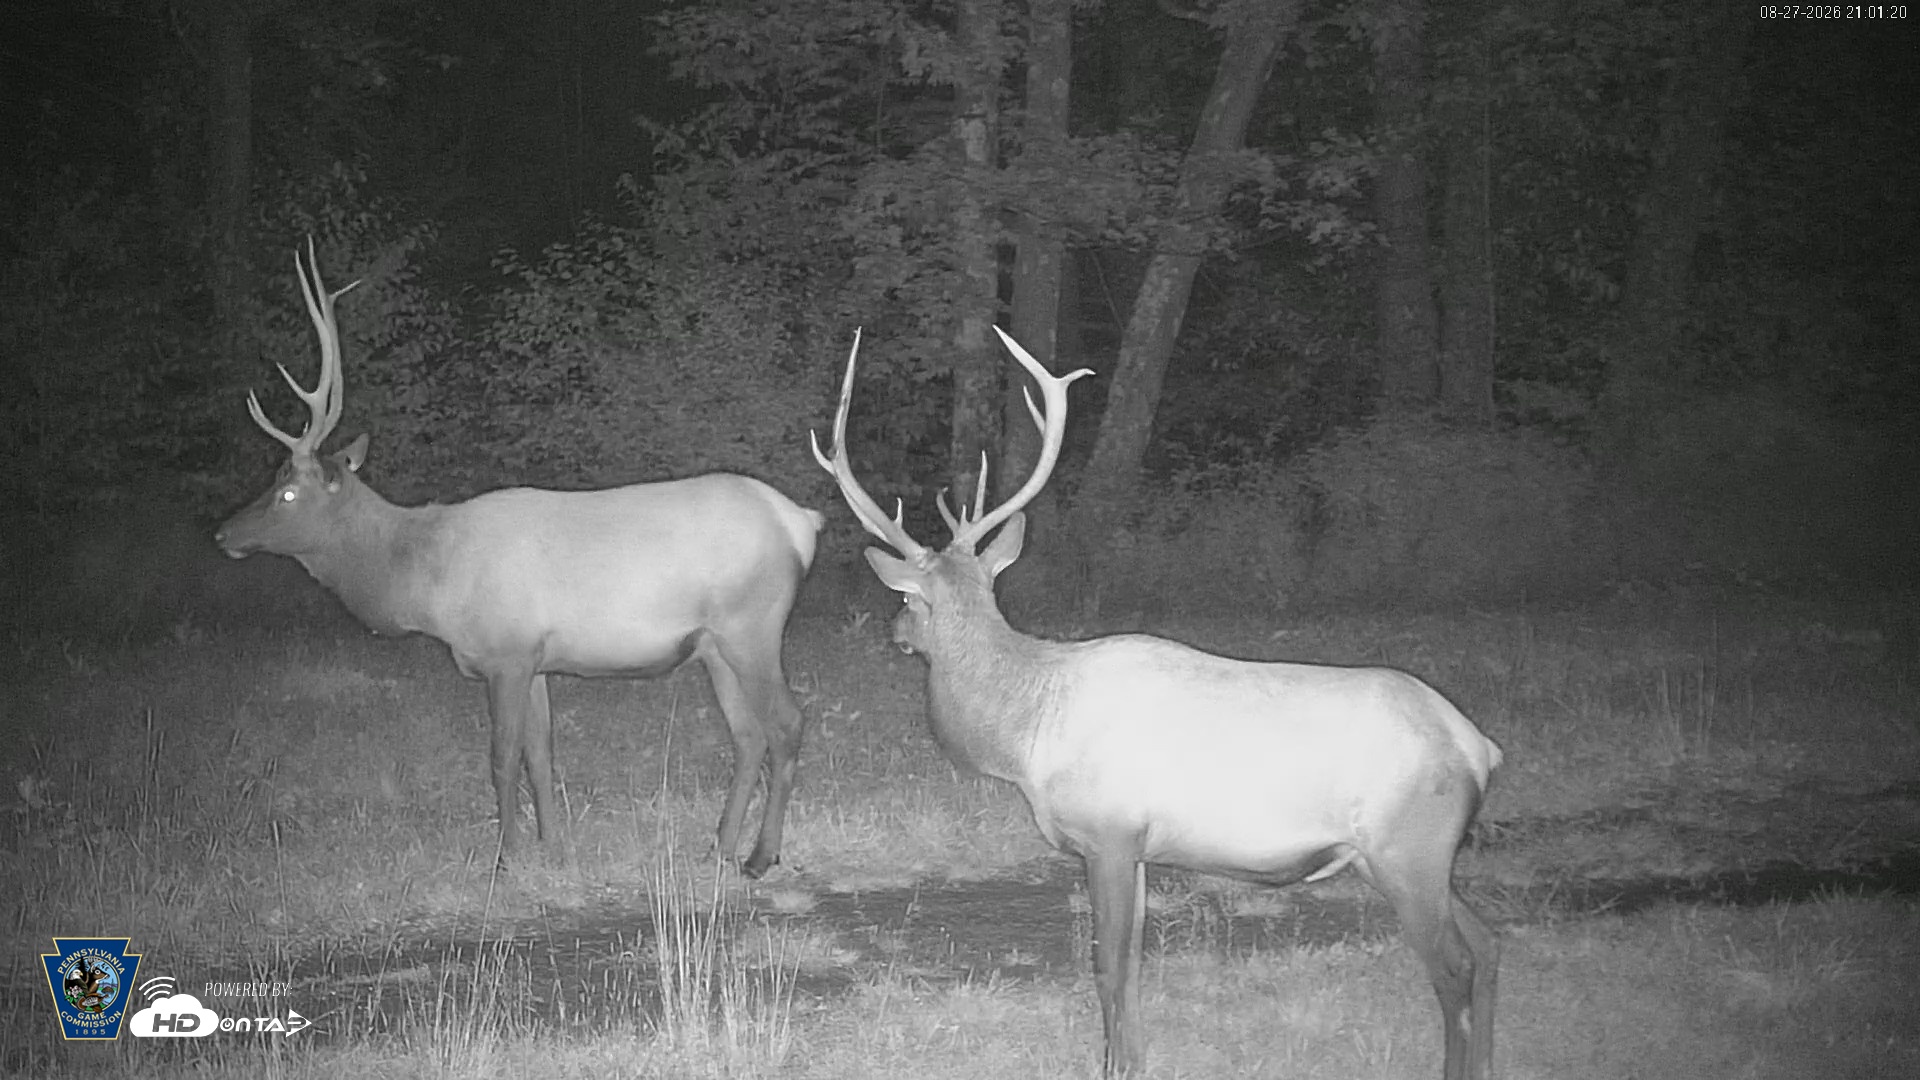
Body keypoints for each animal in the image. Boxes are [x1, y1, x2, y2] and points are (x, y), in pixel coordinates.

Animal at [214, 242, 823, 878]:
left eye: (287, 492)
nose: (223, 531)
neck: (429, 582)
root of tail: (800, 522)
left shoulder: (505, 653)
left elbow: (502, 758)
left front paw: (506, 859)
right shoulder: (535, 660)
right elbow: (541, 755)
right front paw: (553, 847)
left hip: (751, 626)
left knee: (786, 724)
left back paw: (761, 855)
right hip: (712, 646)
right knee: (748, 735)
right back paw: (718, 846)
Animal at [811, 327, 1503, 1078]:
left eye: (909, 599)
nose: (896, 631)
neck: (1028, 738)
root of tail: (1478, 747)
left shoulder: (1109, 833)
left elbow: (1108, 967)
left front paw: (1113, 1063)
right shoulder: (1139, 848)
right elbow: (1135, 966)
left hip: (1407, 845)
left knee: (1457, 967)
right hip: (1416, 856)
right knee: (1490, 944)